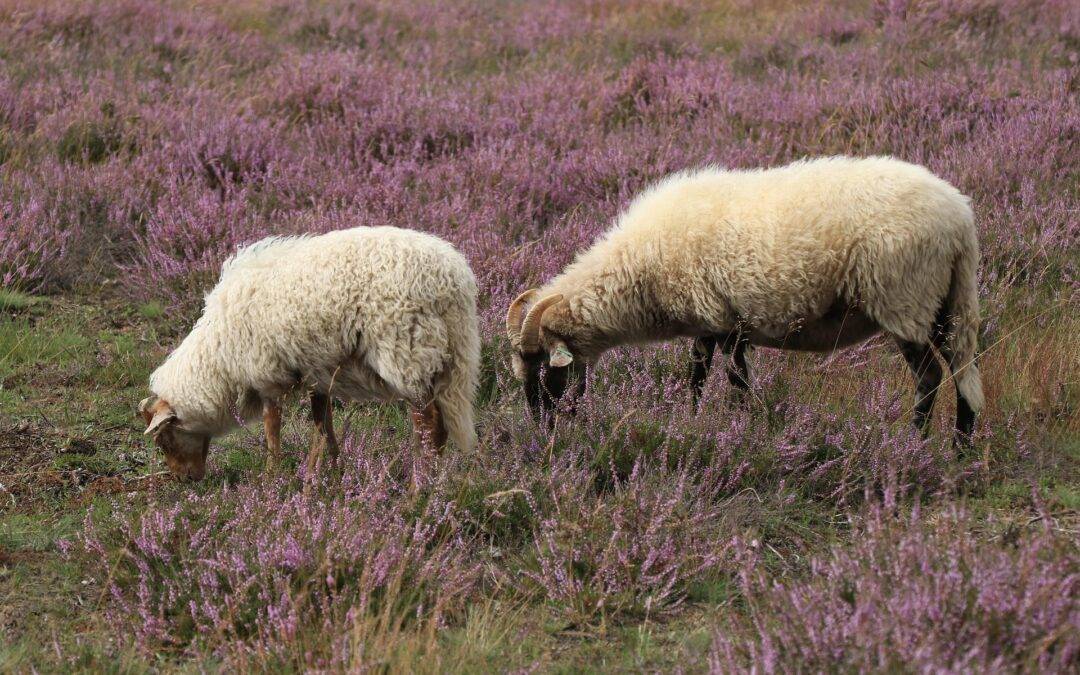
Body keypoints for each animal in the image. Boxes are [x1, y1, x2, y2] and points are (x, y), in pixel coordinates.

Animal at [139, 226, 480, 480]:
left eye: (164, 440)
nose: (184, 480)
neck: (219, 358)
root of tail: (453, 281)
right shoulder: (319, 374)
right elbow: (324, 425)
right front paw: (334, 472)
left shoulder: (267, 374)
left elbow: (272, 430)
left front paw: (272, 476)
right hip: (447, 360)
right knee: (440, 426)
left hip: (408, 353)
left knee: (428, 425)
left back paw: (419, 487)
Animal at [506, 156, 984, 445]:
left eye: (545, 367)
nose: (543, 431)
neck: (639, 270)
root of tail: (959, 218)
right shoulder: (711, 321)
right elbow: (700, 376)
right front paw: (695, 421)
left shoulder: (726, 320)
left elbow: (731, 380)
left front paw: (736, 429)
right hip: (947, 300)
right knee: (964, 373)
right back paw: (959, 447)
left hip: (904, 299)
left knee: (928, 377)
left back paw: (914, 443)